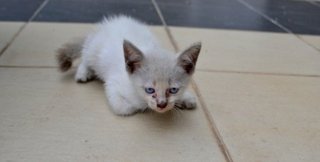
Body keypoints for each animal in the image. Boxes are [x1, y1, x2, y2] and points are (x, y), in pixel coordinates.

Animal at [56, 15, 201, 115]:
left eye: (173, 90)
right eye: (150, 90)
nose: (161, 105)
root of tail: (104, 25)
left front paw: (185, 98)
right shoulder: (113, 85)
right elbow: (124, 107)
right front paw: (142, 107)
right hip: (93, 50)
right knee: (85, 57)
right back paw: (83, 73)